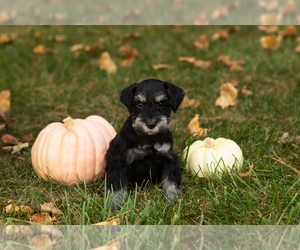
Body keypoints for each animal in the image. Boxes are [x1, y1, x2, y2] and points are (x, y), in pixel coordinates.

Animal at [105, 79, 185, 210]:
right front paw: (114, 202)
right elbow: (117, 183)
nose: (151, 124)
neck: (148, 138)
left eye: (161, 104)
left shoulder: (168, 158)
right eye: (139, 104)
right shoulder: (120, 161)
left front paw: (173, 197)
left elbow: (171, 180)